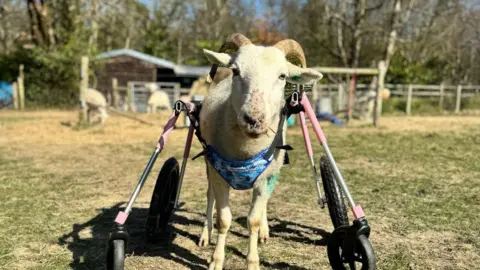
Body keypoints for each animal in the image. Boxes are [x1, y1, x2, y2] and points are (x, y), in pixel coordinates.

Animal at [197, 32, 324, 268]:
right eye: (235, 70)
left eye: (282, 76)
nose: (254, 119)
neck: (245, 153)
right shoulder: (219, 175)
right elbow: (223, 220)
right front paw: (216, 260)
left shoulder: (267, 177)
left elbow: (253, 220)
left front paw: (253, 261)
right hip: (209, 164)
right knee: (210, 196)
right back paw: (204, 234)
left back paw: (264, 231)